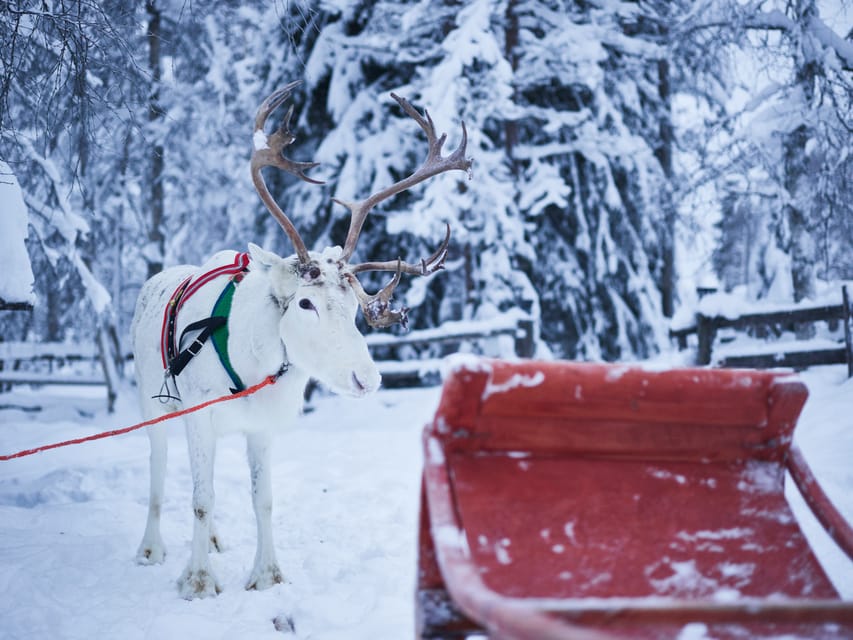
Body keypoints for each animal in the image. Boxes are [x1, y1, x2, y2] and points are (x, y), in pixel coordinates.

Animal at [130, 81, 471, 599]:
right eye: (306, 303)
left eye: (353, 304)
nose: (368, 379)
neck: (250, 361)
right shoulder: (200, 413)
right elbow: (201, 498)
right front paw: (198, 581)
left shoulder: (261, 426)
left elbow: (262, 499)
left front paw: (267, 575)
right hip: (153, 405)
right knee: (159, 468)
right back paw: (151, 548)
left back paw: (213, 541)